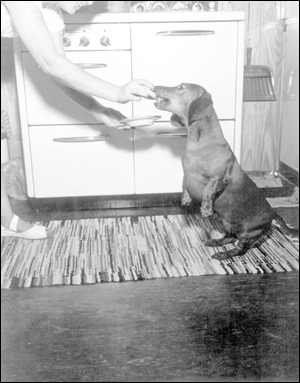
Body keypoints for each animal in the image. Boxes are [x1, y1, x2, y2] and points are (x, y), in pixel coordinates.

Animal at [154, 83, 298, 260]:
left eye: (181, 86)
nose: (154, 86)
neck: (200, 144)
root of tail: (273, 214)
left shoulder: (219, 178)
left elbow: (208, 190)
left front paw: (205, 208)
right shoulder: (186, 173)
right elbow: (184, 183)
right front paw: (186, 200)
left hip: (248, 232)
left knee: (241, 249)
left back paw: (224, 254)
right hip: (227, 222)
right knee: (230, 236)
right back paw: (216, 242)